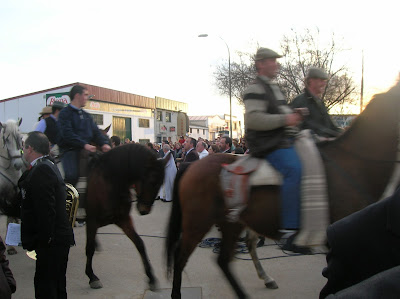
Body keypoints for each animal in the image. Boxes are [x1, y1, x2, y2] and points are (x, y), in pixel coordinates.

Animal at [86, 145, 169, 290]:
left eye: (161, 183)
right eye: (152, 181)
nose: (144, 210)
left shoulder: (123, 220)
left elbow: (139, 243)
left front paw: (151, 277)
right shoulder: (92, 221)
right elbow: (89, 249)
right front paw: (92, 276)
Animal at [165, 82, 400, 299]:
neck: (353, 164)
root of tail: (192, 167)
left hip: (231, 222)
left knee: (223, 261)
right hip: (198, 221)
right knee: (181, 255)